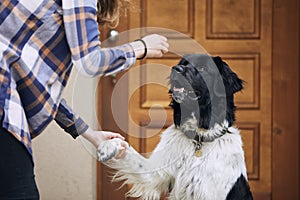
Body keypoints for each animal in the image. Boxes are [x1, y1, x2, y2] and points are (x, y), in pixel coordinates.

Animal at [98, 54, 253, 199]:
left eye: (203, 68)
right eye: (183, 63)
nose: (176, 69)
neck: (198, 138)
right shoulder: (153, 174)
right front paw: (108, 145)